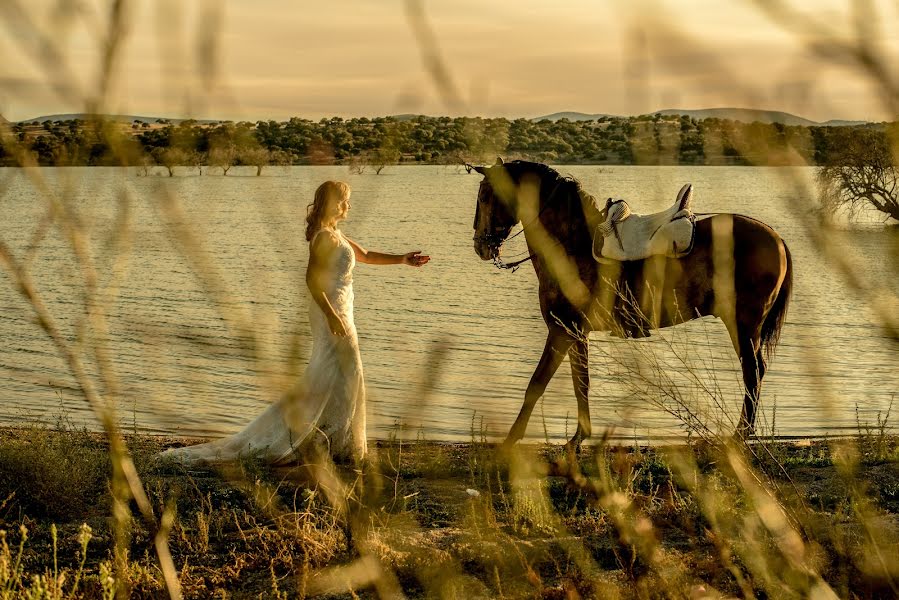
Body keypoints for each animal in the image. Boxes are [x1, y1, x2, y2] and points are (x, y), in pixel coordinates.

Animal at [472, 161, 796, 450]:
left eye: (486, 195)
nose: (480, 246)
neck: (572, 242)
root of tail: (776, 237)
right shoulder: (575, 333)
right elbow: (580, 383)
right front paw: (578, 438)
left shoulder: (561, 330)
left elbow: (537, 384)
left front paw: (511, 439)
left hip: (743, 323)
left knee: (752, 372)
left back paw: (739, 436)